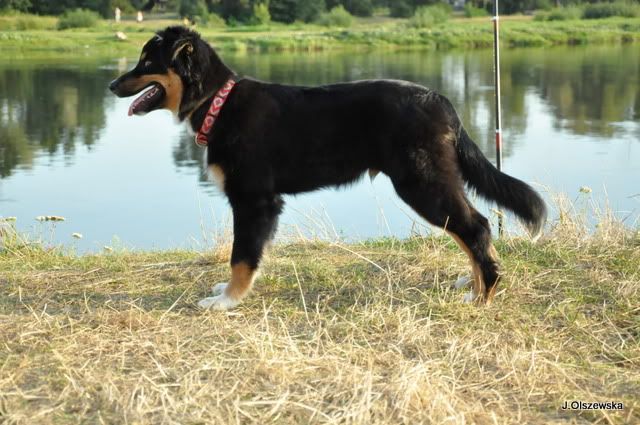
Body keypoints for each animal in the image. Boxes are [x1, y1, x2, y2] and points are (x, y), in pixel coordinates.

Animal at [109, 26, 546, 310]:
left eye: (146, 61)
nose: (112, 86)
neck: (218, 102)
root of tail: (440, 100)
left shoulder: (253, 199)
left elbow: (241, 256)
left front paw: (227, 300)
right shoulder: (262, 203)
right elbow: (251, 254)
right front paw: (229, 294)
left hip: (421, 182)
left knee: (476, 227)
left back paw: (486, 294)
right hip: (430, 180)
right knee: (471, 228)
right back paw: (474, 285)